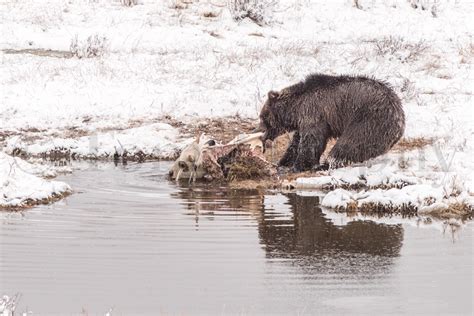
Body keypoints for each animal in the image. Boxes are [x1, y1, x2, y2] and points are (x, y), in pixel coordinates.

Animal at [258, 74, 406, 172]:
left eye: (262, 117)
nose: (259, 131)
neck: (296, 107)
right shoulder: (305, 120)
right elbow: (296, 142)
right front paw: (284, 162)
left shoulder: (315, 113)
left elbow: (311, 142)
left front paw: (298, 166)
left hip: (369, 120)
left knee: (348, 144)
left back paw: (326, 164)